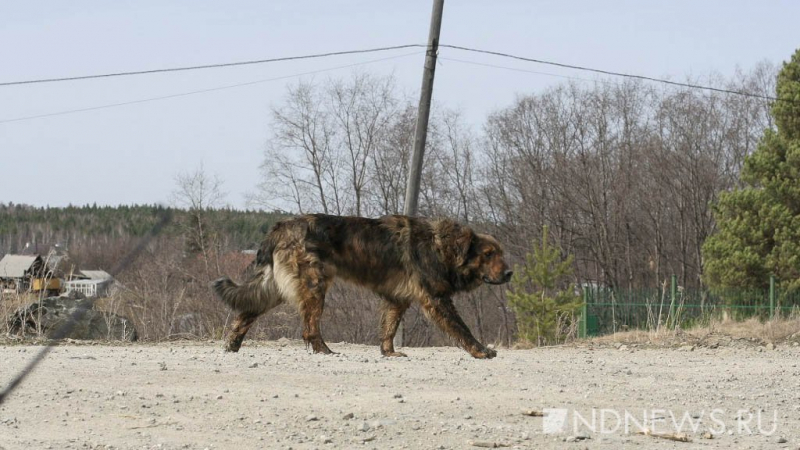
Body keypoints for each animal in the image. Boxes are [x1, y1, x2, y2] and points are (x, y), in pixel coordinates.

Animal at [212, 214, 512, 358]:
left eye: (500, 253)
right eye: (488, 254)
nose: (509, 272)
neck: (442, 246)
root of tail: (281, 227)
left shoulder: (397, 299)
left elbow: (389, 329)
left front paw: (389, 353)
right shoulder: (437, 298)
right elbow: (462, 328)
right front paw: (481, 351)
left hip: (276, 287)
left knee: (245, 311)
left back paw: (232, 346)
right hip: (314, 286)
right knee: (309, 329)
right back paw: (325, 351)